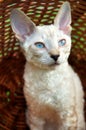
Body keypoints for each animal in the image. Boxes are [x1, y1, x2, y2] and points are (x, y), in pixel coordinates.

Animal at [10, 2, 85, 130]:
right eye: (39, 45)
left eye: (62, 42)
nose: (55, 56)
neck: (48, 78)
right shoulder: (35, 116)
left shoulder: (68, 115)